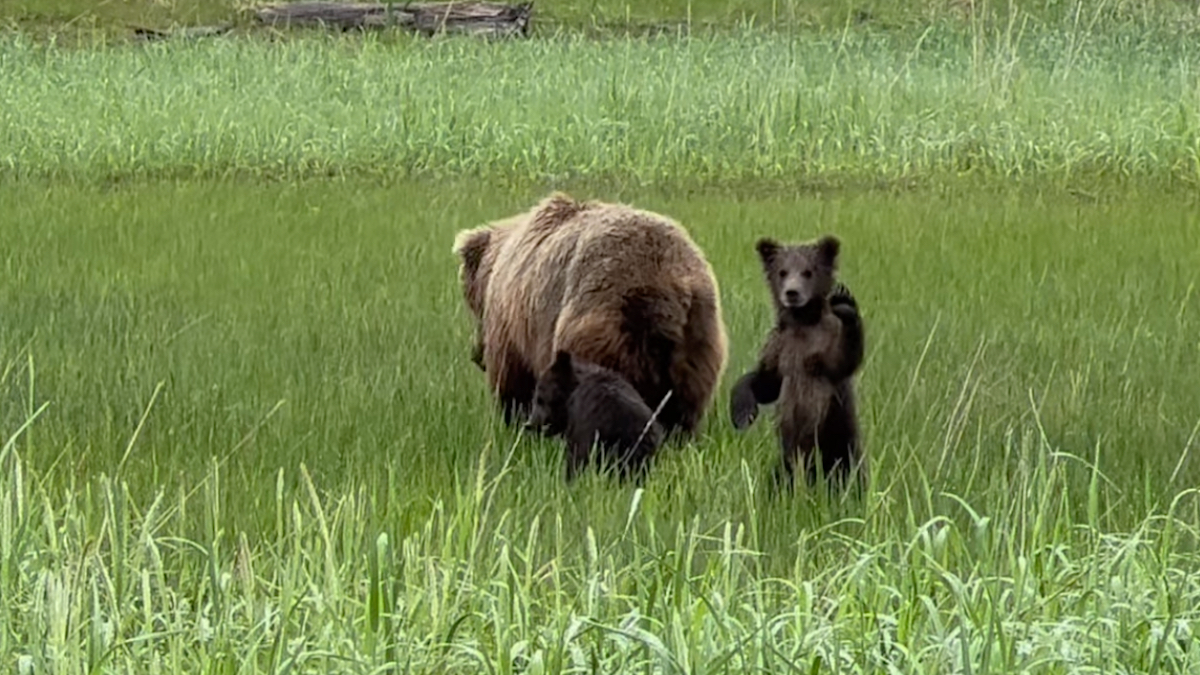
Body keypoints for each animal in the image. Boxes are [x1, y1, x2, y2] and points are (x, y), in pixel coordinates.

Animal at [451, 192, 724, 432]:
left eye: (472, 304)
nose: (476, 354)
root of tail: (661, 288)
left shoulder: (510, 323)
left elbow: (512, 382)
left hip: (598, 325)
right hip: (698, 335)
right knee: (684, 407)